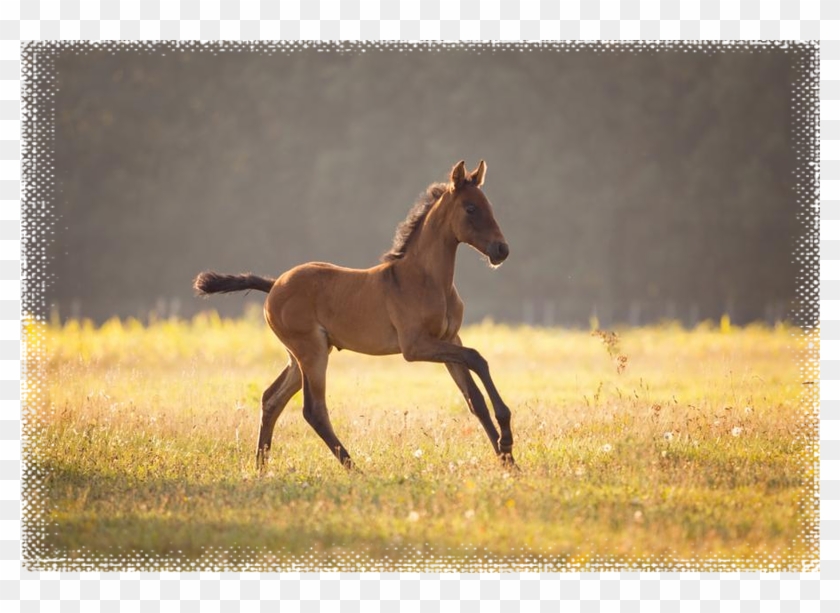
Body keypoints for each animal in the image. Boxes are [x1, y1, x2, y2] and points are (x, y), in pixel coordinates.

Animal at [193, 160, 514, 471]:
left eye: (488, 205)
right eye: (470, 208)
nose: (502, 250)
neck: (426, 279)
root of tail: (274, 285)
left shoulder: (450, 339)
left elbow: (474, 399)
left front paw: (509, 462)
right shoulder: (416, 346)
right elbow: (477, 358)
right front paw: (507, 438)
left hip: (301, 356)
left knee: (271, 399)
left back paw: (261, 468)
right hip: (311, 352)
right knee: (313, 410)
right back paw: (353, 469)